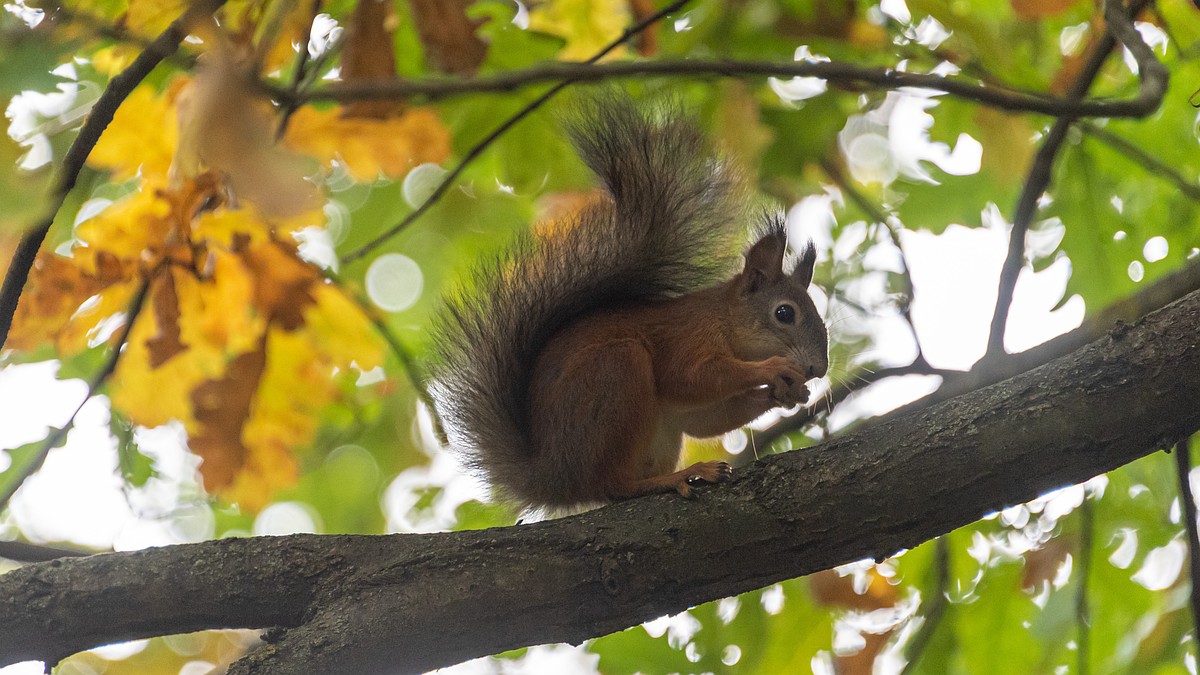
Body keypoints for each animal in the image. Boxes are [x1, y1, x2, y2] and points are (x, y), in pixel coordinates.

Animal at [427, 97, 830, 511]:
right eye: (784, 313)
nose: (818, 368)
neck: (724, 319)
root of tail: (554, 480)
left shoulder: (687, 412)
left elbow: (703, 418)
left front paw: (790, 393)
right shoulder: (687, 337)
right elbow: (691, 377)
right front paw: (773, 369)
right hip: (616, 374)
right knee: (612, 485)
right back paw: (676, 477)